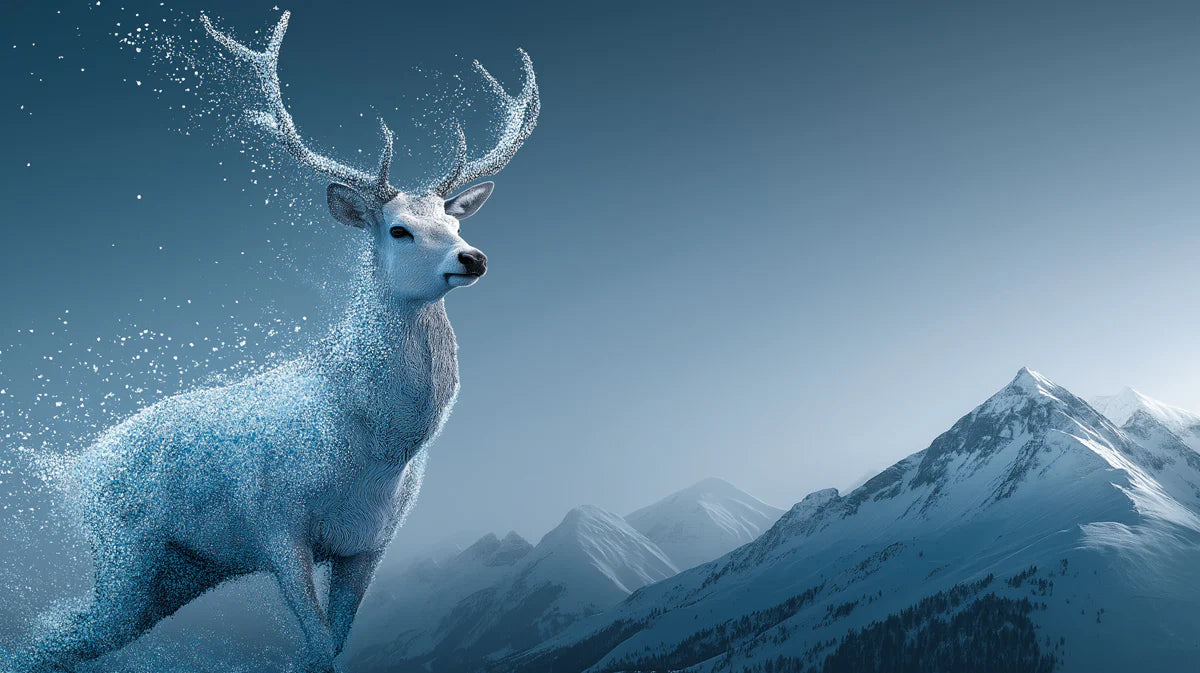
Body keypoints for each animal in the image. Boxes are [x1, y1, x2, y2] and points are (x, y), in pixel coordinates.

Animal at [12, 10, 537, 673]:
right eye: (400, 230)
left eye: (455, 221)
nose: (473, 258)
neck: (372, 451)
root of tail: (76, 468)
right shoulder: (276, 527)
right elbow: (315, 649)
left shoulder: (370, 544)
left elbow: (332, 645)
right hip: (125, 552)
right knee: (56, 632)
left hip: (176, 575)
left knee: (63, 638)